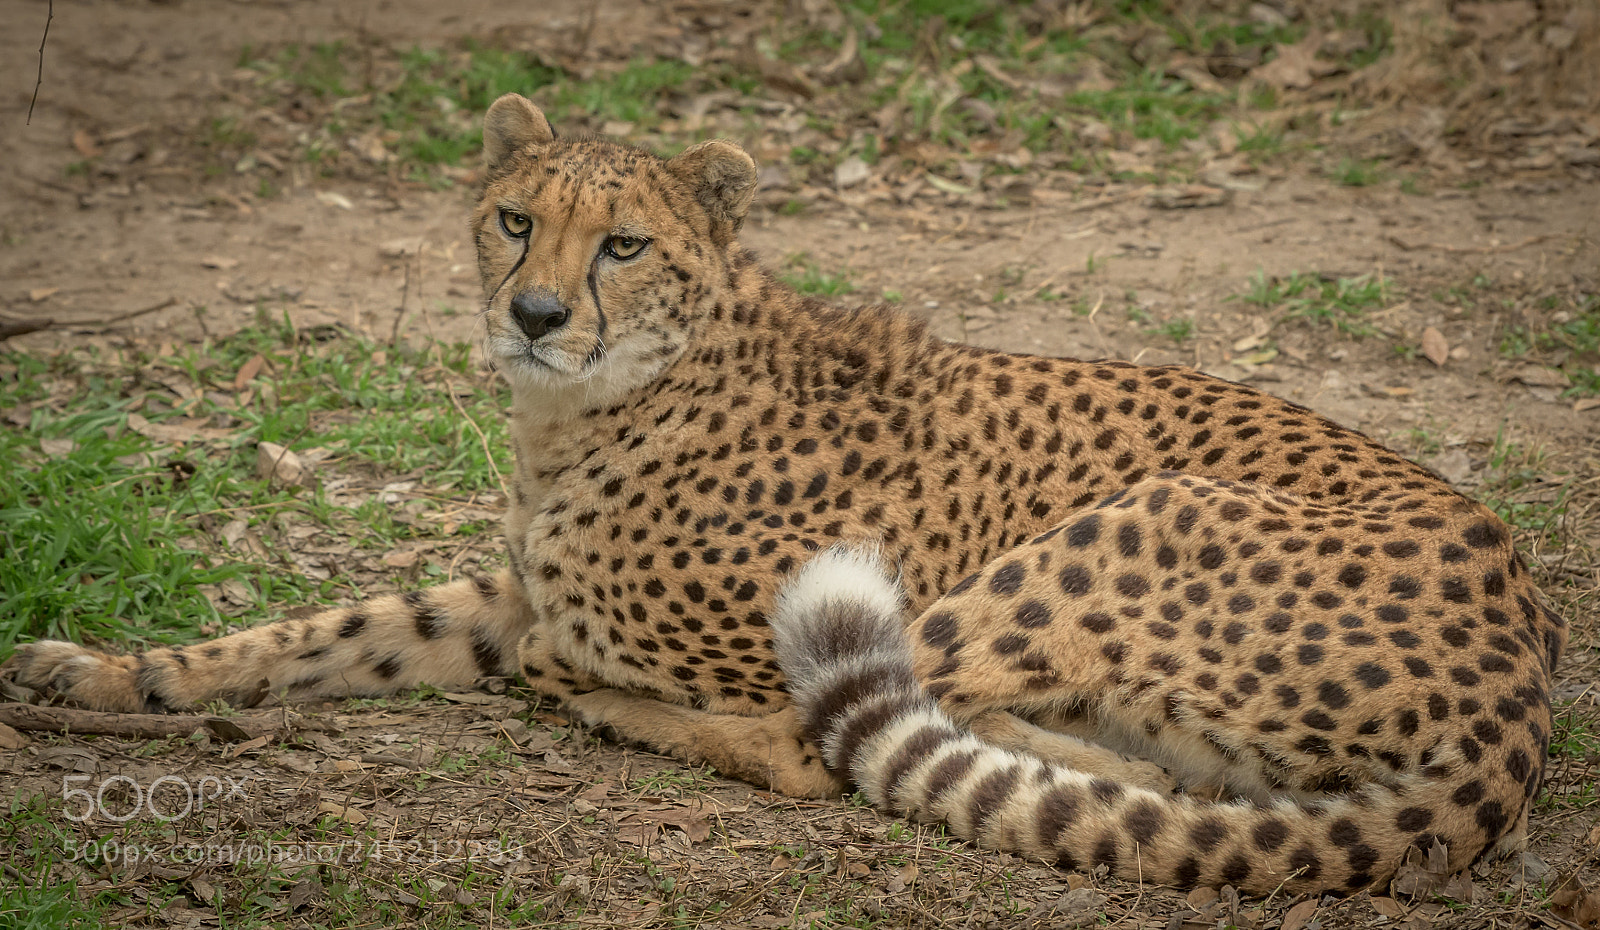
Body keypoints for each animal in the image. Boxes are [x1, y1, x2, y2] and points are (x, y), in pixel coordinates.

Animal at [5, 93, 1565, 897]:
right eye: (516, 218)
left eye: (623, 242)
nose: (533, 313)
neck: (595, 404)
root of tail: (1526, 685)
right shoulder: (512, 586)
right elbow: (339, 628)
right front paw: (106, 673)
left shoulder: (696, 616)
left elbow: (686, 690)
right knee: (1099, 767)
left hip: (1125, 522)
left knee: (815, 741)